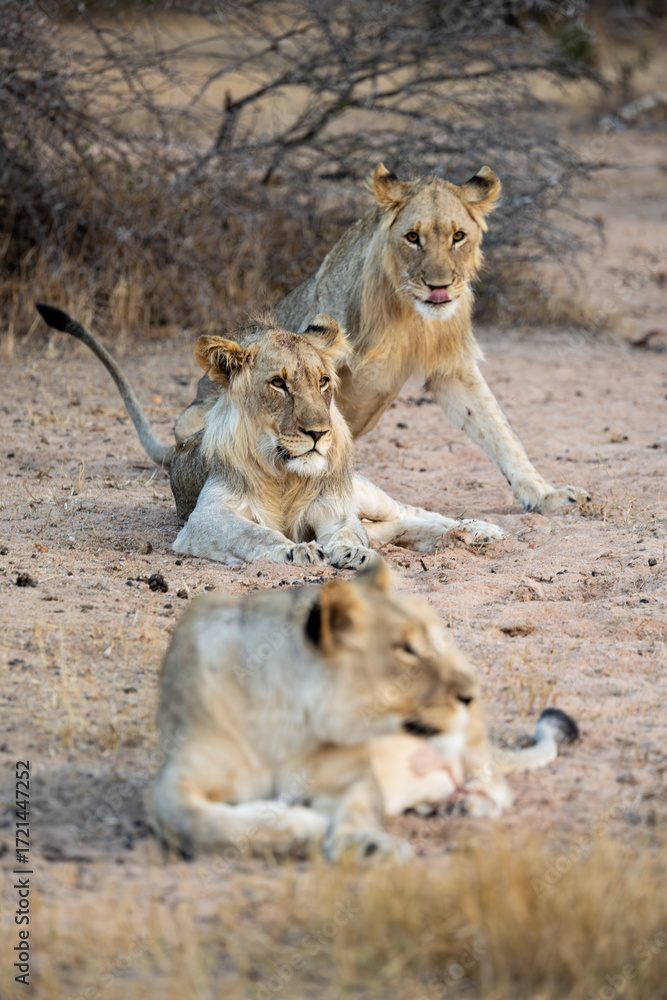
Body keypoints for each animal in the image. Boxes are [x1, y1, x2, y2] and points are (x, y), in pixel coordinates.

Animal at [35, 304, 502, 567]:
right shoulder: (205, 519)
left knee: (408, 513)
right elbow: (253, 533)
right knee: (394, 526)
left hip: (362, 491)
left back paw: (476, 530)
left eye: (323, 382)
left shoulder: (335, 510)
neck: (285, 475)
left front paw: (352, 553)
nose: (319, 434)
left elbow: (349, 532)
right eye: (279, 383)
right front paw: (297, 550)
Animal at [146, 562, 578, 862]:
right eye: (406, 649)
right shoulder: (177, 776)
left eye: (424, 644)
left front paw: (365, 844)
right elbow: (190, 819)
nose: (472, 693)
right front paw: (298, 824)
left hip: (472, 743)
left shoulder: (351, 776)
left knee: (495, 783)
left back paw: (468, 804)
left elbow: (359, 808)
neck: (286, 724)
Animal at [177, 163, 589, 526]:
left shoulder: (452, 367)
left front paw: (544, 494)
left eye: (458, 236)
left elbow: (498, 427)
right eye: (413, 237)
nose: (439, 287)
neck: (408, 313)